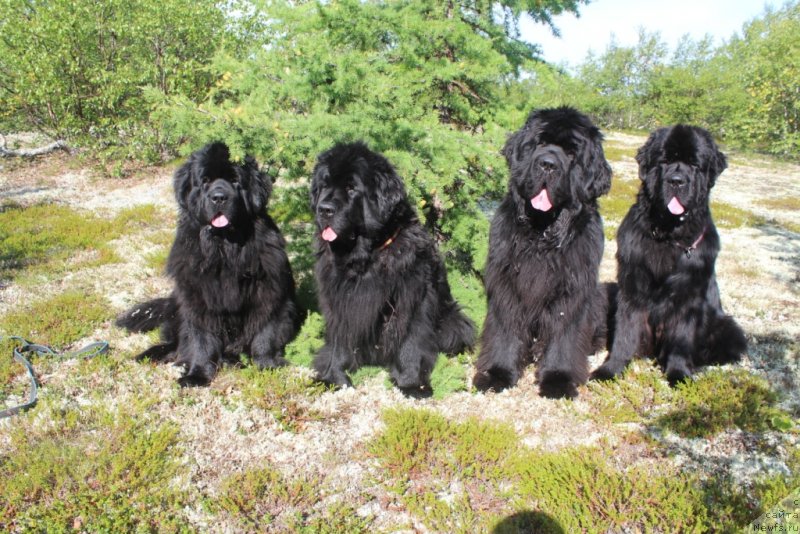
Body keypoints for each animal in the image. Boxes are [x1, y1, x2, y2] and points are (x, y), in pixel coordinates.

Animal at [119, 141, 304, 386]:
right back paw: (153, 357)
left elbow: (265, 334)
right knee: (174, 344)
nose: (219, 197)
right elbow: (201, 341)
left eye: (235, 180)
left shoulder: (270, 295)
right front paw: (197, 375)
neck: (224, 250)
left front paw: (267, 366)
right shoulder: (197, 300)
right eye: (205, 180)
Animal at [310, 142, 476, 398]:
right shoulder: (338, 298)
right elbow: (339, 339)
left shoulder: (413, 296)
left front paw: (411, 383)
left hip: (453, 322)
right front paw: (333, 377)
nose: (323, 209)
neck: (367, 257)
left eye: (351, 188)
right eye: (325, 185)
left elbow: (411, 341)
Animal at [476, 109, 612, 400]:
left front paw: (558, 380)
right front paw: (497, 373)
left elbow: (564, 335)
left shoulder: (572, 291)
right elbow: (506, 329)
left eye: (572, 153)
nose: (547, 164)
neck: (541, 235)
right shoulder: (507, 284)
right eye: (539, 143)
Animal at [592, 125, 748, 386]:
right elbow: (625, 332)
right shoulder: (631, 285)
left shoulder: (688, 297)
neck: (667, 235)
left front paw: (678, 373)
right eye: (664, 161)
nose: (677, 181)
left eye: (695, 164)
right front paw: (611, 369)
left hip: (729, 328)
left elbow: (680, 340)